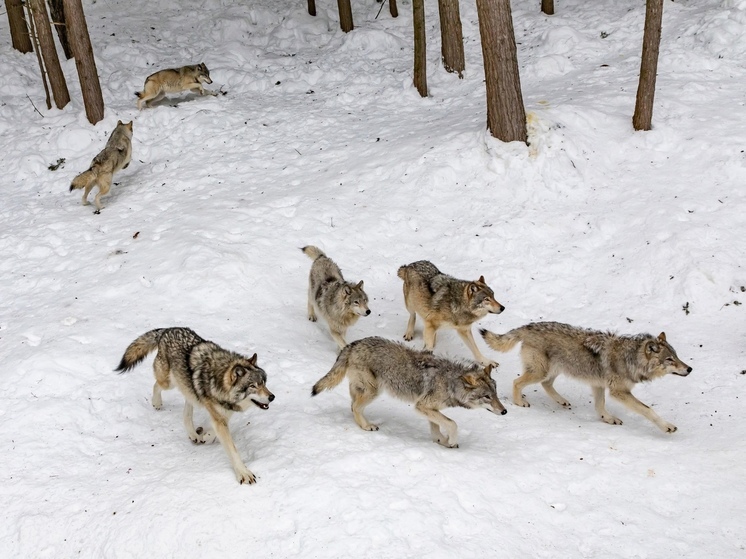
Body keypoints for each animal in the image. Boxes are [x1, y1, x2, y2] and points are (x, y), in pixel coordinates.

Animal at [117, 328, 274, 486]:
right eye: (253, 386)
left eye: (264, 383)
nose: (272, 397)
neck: (218, 381)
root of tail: (167, 330)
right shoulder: (219, 417)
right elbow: (232, 449)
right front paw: (243, 473)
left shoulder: (223, 414)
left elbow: (214, 431)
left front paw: (206, 436)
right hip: (169, 383)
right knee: (156, 385)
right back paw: (157, 403)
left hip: (188, 389)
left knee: (186, 412)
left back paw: (193, 434)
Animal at [308, 334, 506, 448]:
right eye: (487, 397)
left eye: (496, 394)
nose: (504, 411)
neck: (450, 382)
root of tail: (353, 344)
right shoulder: (422, 406)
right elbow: (452, 424)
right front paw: (451, 440)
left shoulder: (429, 408)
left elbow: (437, 426)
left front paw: (441, 441)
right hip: (373, 391)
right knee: (355, 407)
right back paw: (366, 426)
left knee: (352, 405)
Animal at [480, 322, 688, 436]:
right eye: (669, 360)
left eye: (677, 357)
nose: (690, 369)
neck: (631, 359)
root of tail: (528, 326)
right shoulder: (619, 392)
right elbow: (648, 410)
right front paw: (668, 427)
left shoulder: (598, 385)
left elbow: (600, 406)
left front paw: (608, 419)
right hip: (541, 371)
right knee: (517, 382)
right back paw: (519, 402)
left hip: (553, 370)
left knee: (546, 384)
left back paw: (562, 401)